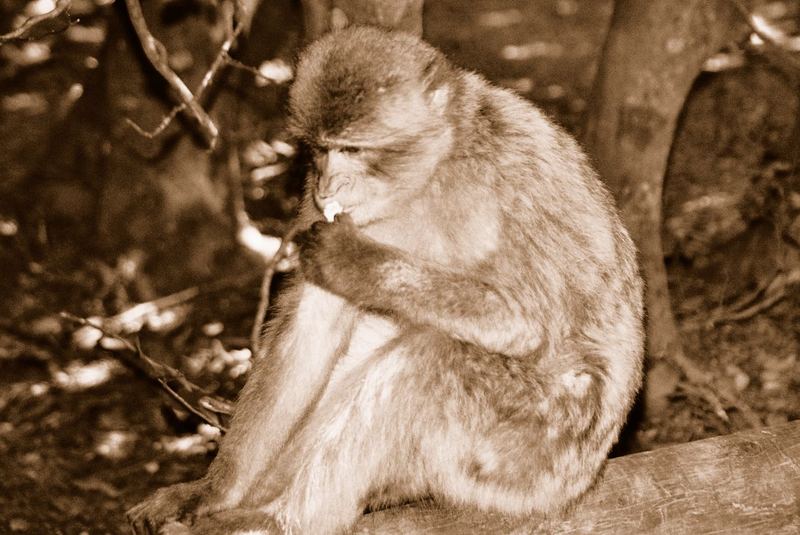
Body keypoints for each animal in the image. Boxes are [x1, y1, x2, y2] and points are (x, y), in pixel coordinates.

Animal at [128, 25, 648, 535]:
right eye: (320, 150)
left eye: (352, 149)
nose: (329, 185)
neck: (431, 172)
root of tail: (587, 475)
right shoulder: (317, 207)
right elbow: (314, 330)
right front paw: (212, 491)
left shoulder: (499, 182)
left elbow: (527, 322)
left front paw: (355, 262)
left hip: (538, 454)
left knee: (430, 357)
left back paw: (283, 518)